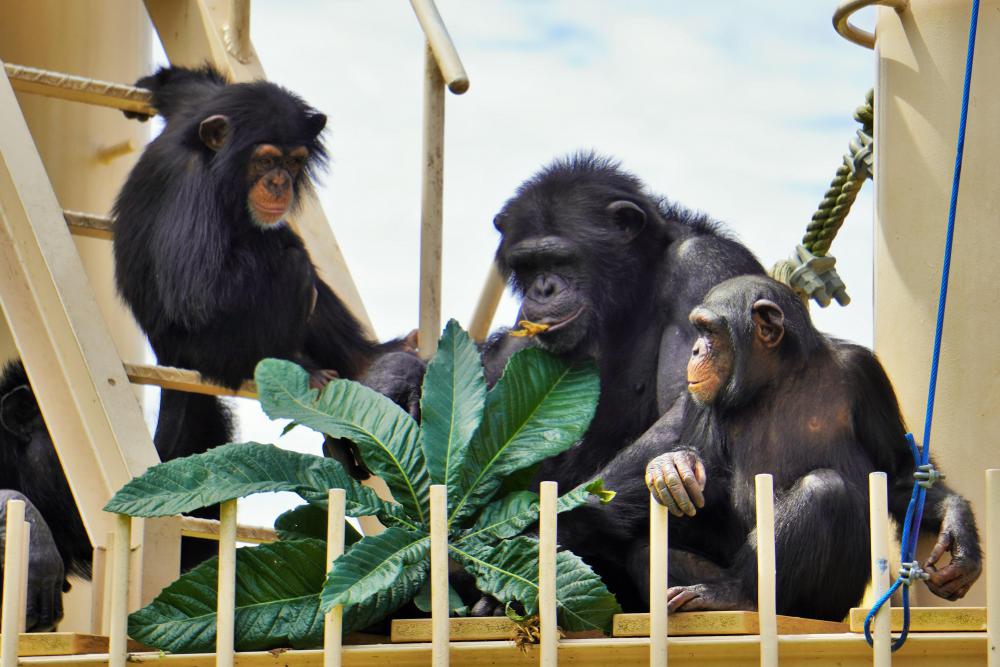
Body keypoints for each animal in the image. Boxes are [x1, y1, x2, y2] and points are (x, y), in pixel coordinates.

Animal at [644, 276, 980, 620]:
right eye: (699, 330)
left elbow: (896, 471)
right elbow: (705, 478)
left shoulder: (864, 372)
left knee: (823, 488)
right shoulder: (699, 397)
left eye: (710, 331)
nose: (696, 349)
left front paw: (957, 526)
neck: (778, 376)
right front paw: (672, 465)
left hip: (828, 602)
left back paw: (736, 594)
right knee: (643, 549)